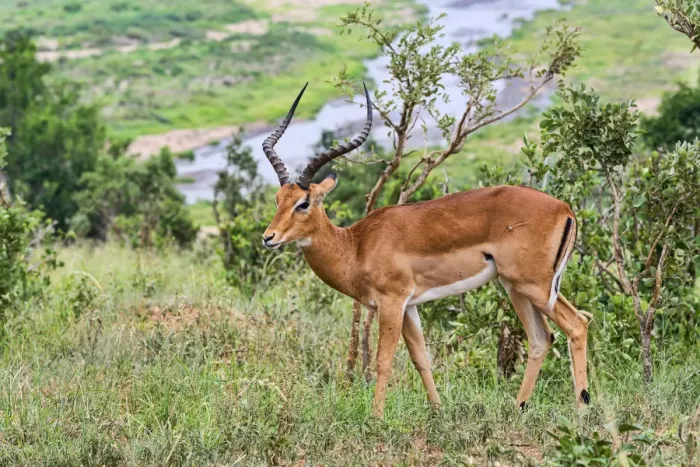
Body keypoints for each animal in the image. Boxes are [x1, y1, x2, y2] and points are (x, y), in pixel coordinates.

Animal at [261, 83, 590, 417]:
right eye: (278, 199)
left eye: (303, 203)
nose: (268, 237)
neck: (356, 244)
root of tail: (565, 209)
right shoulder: (410, 306)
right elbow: (421, 359)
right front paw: (438, 411)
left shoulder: (391, 302)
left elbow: (383, 361)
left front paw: (376, 418)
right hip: (518, 287)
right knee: (541, 338)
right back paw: (518, 407)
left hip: (533, 286)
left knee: (577, 324)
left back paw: (581, 410)